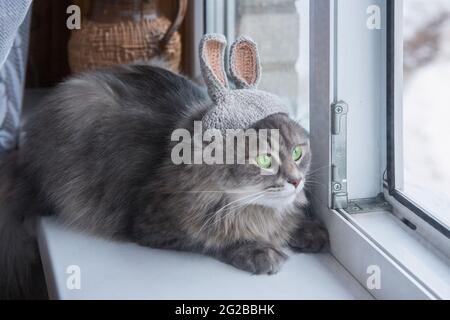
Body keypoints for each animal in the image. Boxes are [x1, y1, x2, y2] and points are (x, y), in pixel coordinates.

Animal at [1, 35, 328, 300]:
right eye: (264, 160)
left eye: (298, 152)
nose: (296, 181)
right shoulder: (153, 225)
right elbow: (210, 240)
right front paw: (258, 249)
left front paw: (307, 230)